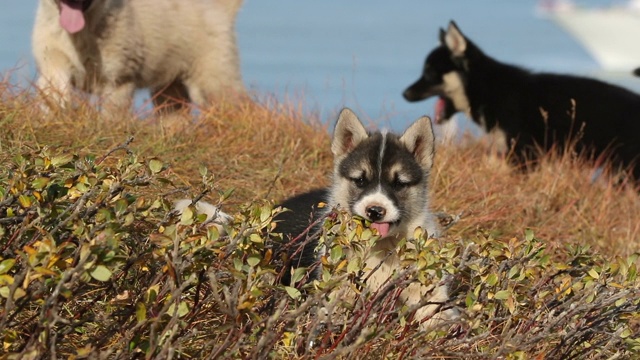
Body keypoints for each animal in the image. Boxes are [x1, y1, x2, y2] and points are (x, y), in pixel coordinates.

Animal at [33, 0, 246, 112]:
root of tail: (220, 10)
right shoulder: (53, 65)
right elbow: (54, 97)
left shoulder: (119, 81)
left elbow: (110, 117)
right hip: (170, 91)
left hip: (213, 81)